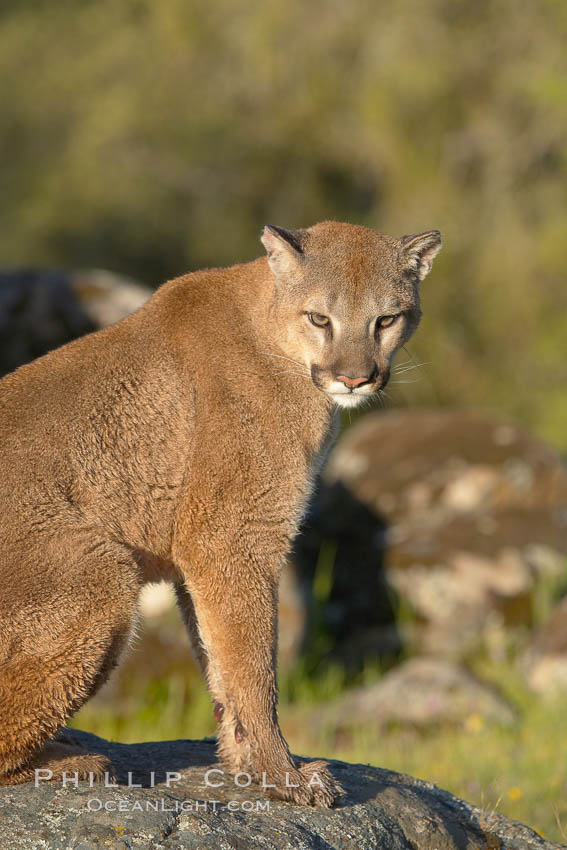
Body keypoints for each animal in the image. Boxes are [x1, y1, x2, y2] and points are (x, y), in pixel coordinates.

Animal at [0, 219, 442, 800]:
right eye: (320, 318)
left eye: (386, 319)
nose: (354, 377)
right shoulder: (233, 536)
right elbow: (254, 668)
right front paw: (284, 776)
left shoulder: (206, 553)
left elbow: (221, 667)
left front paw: (246, 764)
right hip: (99, 571)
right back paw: (75, 761)